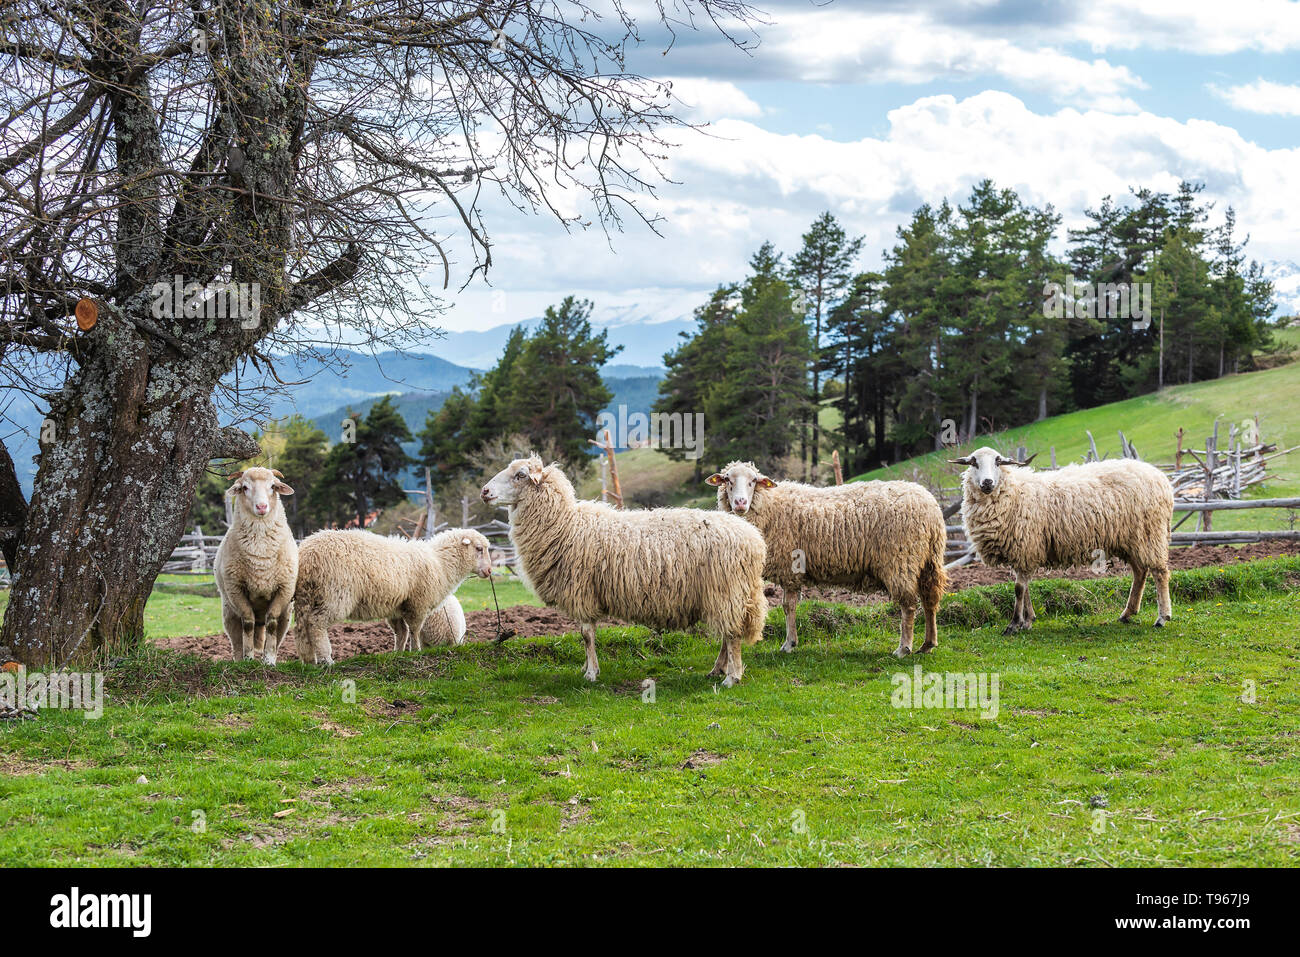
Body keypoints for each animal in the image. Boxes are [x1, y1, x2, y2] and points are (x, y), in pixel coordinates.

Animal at [213, 467, 298, 665]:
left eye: (273, 486)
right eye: (244, 487)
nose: (261, 507)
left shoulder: (283, 590)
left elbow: (272, 623)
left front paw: (268, 660)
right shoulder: (236, 590)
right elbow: (248, 623)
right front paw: (249, 657)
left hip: (286, 616)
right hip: (229, 612)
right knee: (237, 639)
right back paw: (239, 659)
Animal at [292, 528, 492, 665]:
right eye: (479, 548)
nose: (490, 571)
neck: (441, 563)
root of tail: (307, 554)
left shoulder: (396, 607)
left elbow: (401, 633)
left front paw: (398, 653)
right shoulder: (418, 604)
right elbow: (415, 630)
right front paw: (416, 651)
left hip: (306, 596)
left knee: (302, 627)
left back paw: (309, 660)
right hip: (335, 595)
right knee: (316, 624)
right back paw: (326, 659)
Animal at [480, 457, 768, 687]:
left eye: (520, 475)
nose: (484, 491)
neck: (565, 524)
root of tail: (754, 540)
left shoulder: (582, 590)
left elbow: (586, 635)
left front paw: (591, 674)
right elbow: (585, 636)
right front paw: (587, 668)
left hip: (726, 590)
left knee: (732, 635)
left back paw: (732, 677)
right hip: (728, 595)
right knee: (728, 633)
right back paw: (717, 670)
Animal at [707, 462, 948, 658]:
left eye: (753, 481)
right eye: (727, 479)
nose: (740, 503)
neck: (770, 505)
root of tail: (931, 508)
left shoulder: (790, 568)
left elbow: (788, 606)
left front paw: (789, 644)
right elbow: (789, 606)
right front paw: (791, 642)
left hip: (901, 560)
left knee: (908, 605)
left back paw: (903, 648)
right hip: (929, 560)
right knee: (930, 599)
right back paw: (928, 644)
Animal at [951, 446, 1174, 633]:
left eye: (998, 461)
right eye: (973, 462)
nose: (987, 483)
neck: (1013, 492)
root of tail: (1160, 477)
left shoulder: (1026, 546)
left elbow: (1019, 589)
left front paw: (1015, 624)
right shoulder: (1022, 551)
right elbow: (1025, 588)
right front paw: (1028, 620)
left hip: (1150, 533)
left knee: (1160, 572)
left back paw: (1162, 617)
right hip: (1131, 539)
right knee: (1140, 572)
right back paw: (1128, 613)